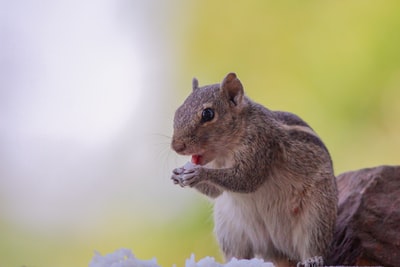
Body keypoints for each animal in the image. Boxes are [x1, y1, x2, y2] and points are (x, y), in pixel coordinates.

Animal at [170, 73, 338, 267]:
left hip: (317, 214)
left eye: (208, 114)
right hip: (230, 230)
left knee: (313, 244)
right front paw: (176, 174)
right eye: (177, 112)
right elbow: (215, 192)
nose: (176, 147)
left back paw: (313, 259)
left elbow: (246, 179)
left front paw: (199, 174)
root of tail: (277, 251)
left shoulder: (262, 143)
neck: (225, 152)